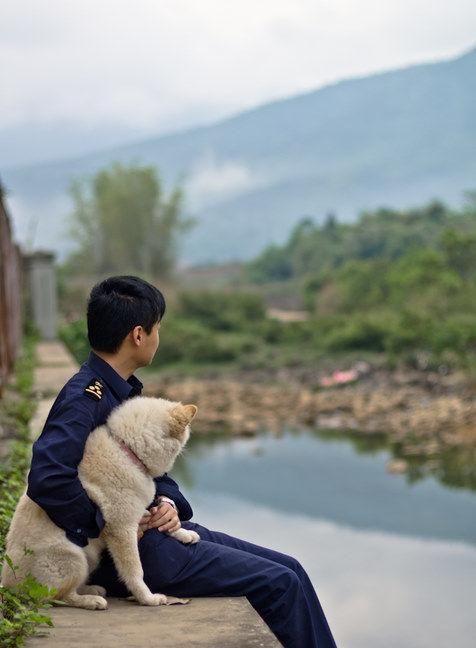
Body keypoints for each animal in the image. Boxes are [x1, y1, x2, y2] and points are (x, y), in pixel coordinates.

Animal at [1, 398, 199, 612]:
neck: (127, 449)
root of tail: (9, 585)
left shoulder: (139, 513)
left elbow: (161, 520)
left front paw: (184, 533)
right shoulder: (122, 530)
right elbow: (135, 571)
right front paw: (148, 598)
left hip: (89, 559)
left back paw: (92, 589)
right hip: (74, 558)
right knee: (57, 597)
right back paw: (91, 600)